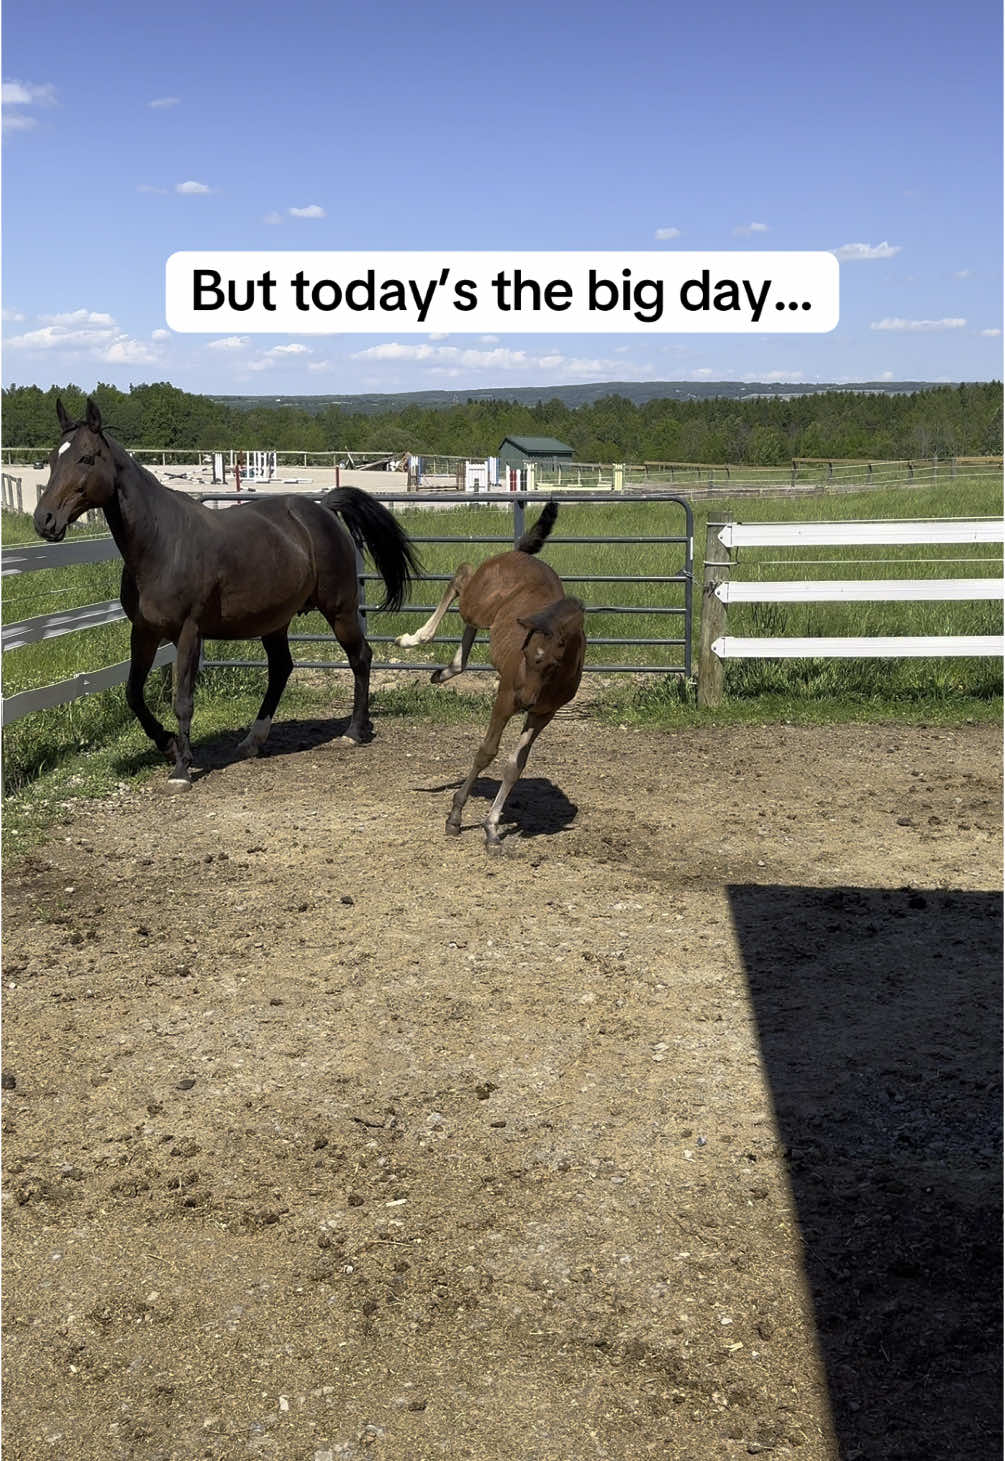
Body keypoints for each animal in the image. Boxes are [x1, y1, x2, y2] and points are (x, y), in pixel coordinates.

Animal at [34, 399, 421, 790]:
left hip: (339, 610)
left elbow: (183, 701)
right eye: (51, 459)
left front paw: (181, 770)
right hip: (275, 621)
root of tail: (324, 509)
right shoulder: (144, 631)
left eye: (86, 457)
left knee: (360, 657)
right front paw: (169, 746)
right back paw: (253, 740)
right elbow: (133, 694)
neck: (161, 542)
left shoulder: (188, 632)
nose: (44, 520)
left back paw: (353, 731)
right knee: (282, 668)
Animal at [396, 500, 585, 850]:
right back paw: (414, 638)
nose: (525, 699)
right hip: (477, 602)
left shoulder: (544, 714)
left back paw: (445, 672)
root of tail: (517, 553)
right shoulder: (505, 697)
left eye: (553, 663)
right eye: (525, 654)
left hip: (484, 616)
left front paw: (492, 827)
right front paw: (455, 817)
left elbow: (515, 765)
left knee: (466, 633)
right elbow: (487, 751)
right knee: (461, 576)